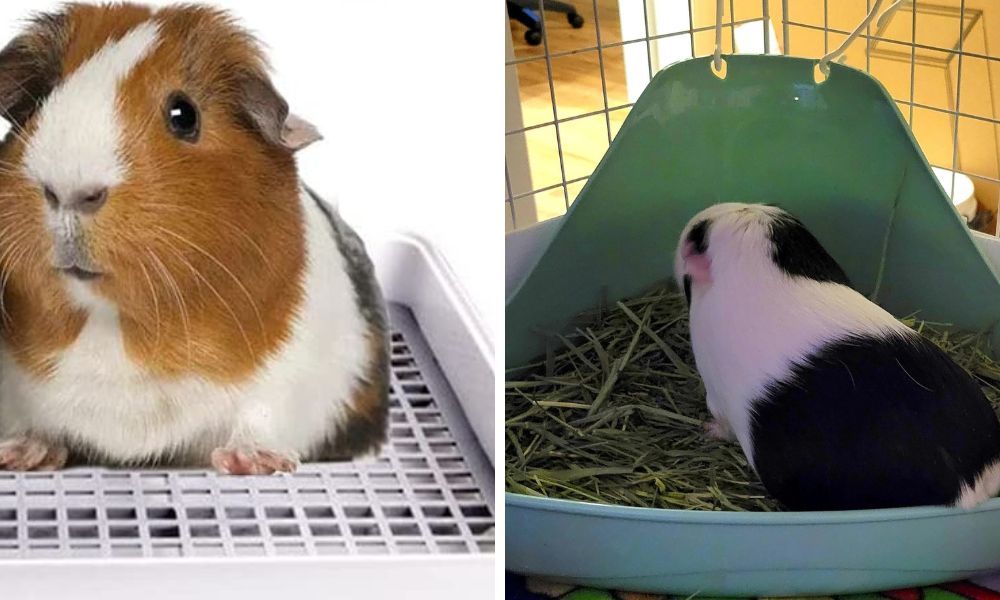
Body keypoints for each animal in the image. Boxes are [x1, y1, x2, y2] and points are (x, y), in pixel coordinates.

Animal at [0, 3, 389, 474]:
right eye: (40, 100)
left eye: (184, 115)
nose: (68, 191)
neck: (114, 324)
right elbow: (30, 420)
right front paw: (19, 455)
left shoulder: (294, 374)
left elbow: (260, 415)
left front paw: (253, 462)